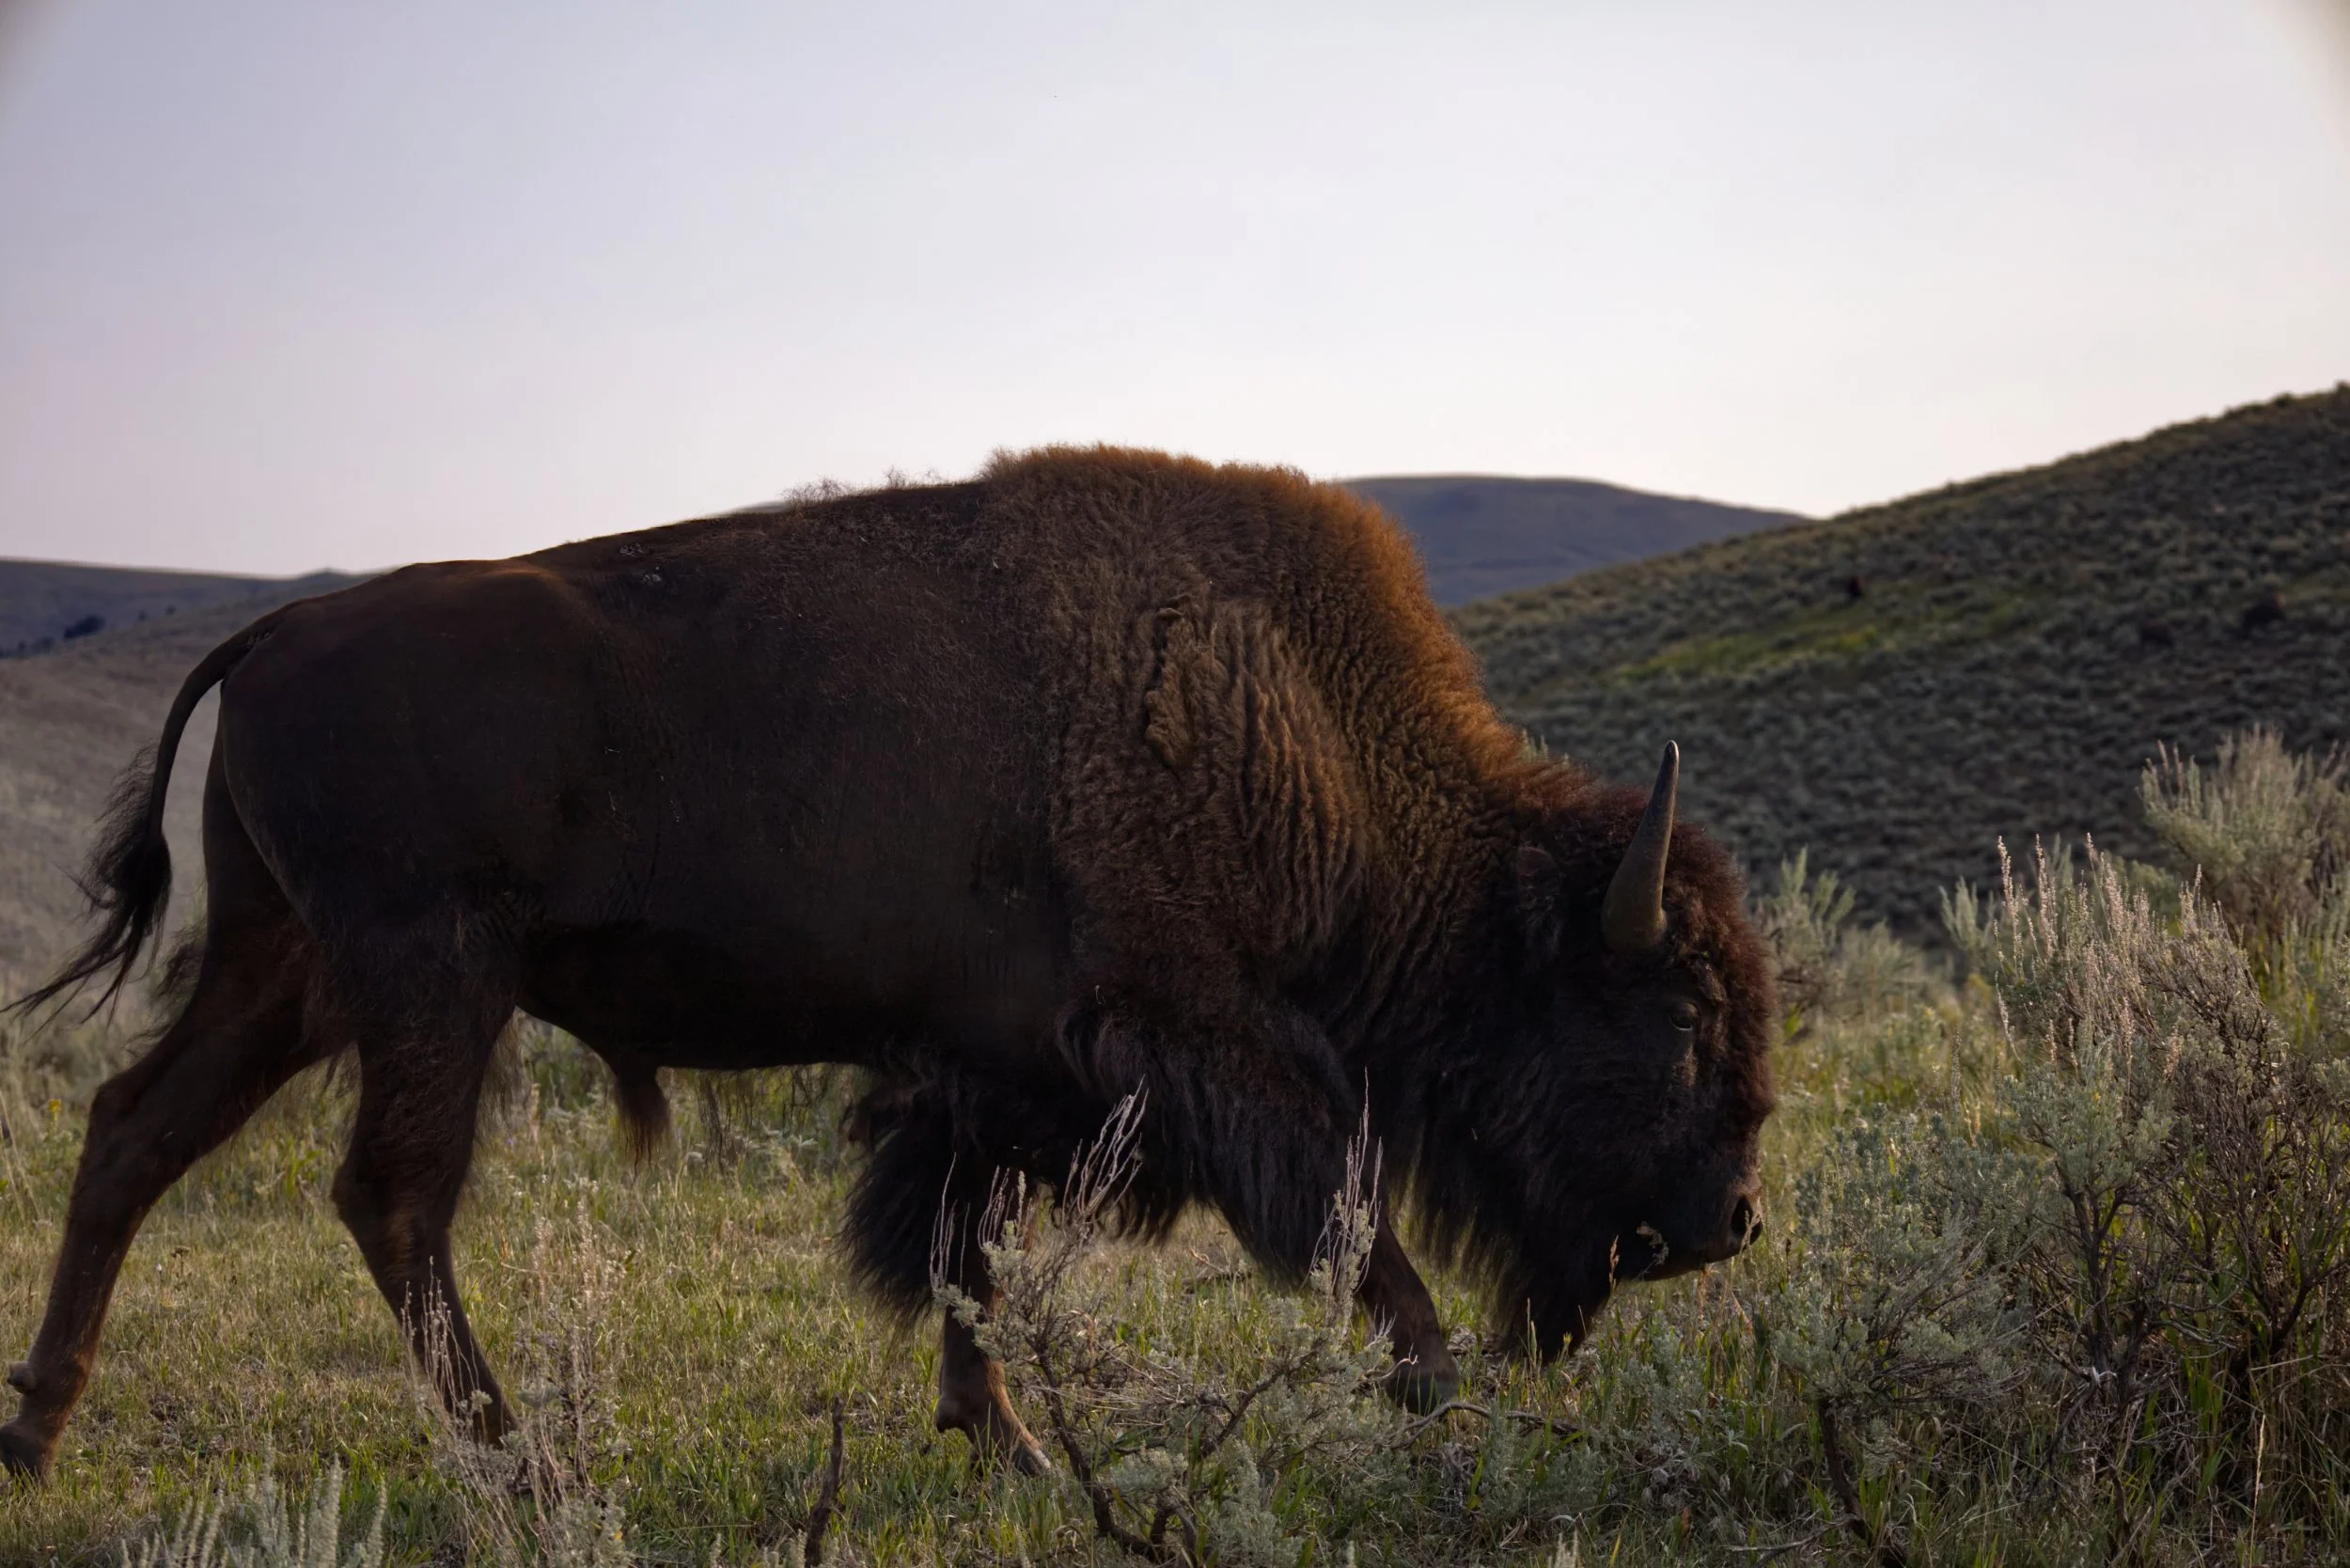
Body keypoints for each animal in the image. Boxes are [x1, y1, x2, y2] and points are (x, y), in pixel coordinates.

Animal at [4, 448, 1775, 1479]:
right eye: (1685, 1012)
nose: (1734, 1220)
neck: (1299, 731)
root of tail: (271, 635)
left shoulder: (989, 1075)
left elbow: (960, 1250)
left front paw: (1006, 1447)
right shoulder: (1202, 1044)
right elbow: (1354, 1230)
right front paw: (1446, 1409)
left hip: (287, 973)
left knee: (136, 1131)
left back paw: (35, 1429)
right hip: (431, 982)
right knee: (390, 1197)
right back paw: (524, 1466)